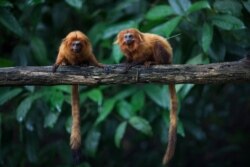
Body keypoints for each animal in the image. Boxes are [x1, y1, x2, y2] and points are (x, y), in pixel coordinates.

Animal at [52, 30, 103, 165]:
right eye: (73, 44)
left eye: (78, 44)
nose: (76, 48)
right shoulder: (64, 49)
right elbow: (61, 56)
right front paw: (58, 64)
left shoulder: (87, 50)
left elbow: (91, 58)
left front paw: (97, 65)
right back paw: (67, 63)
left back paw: (83, 64)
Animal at [115, 28, 178, 165]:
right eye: (126, 37)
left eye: (130, 36)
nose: (128, 39)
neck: (133, 46)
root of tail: (171, 59)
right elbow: (129, 57)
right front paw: (126, 62)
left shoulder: (144, 47)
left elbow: (147, 51)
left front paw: (133, 64)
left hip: (166, 56)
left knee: (158, 46)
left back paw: (155, 62)